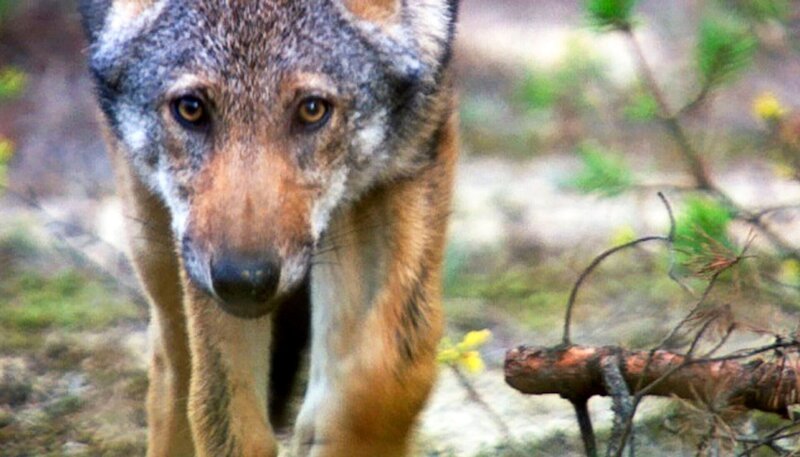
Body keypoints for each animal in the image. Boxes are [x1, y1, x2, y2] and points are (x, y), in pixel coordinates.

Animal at [79, 0, 459, 456]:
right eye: (191, 108)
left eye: (312, 110)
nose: (243, 280)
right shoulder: (198, 256)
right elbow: (225, 420)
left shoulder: (412, 150)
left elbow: (395, 370)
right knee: (172, 358)